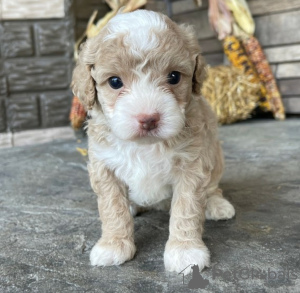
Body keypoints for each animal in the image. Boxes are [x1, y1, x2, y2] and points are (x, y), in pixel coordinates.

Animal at [71, 9, 236, 274]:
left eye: (174, 77)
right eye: (115, 82)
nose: (148, 119)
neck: (145, 146)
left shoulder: (193, 164)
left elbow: (187, 208)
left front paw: (185, 251)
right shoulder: (104, 165)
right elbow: (112, 208)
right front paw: (113, 245)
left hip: (216, 157)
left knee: (212, 187)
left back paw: (216, 205)